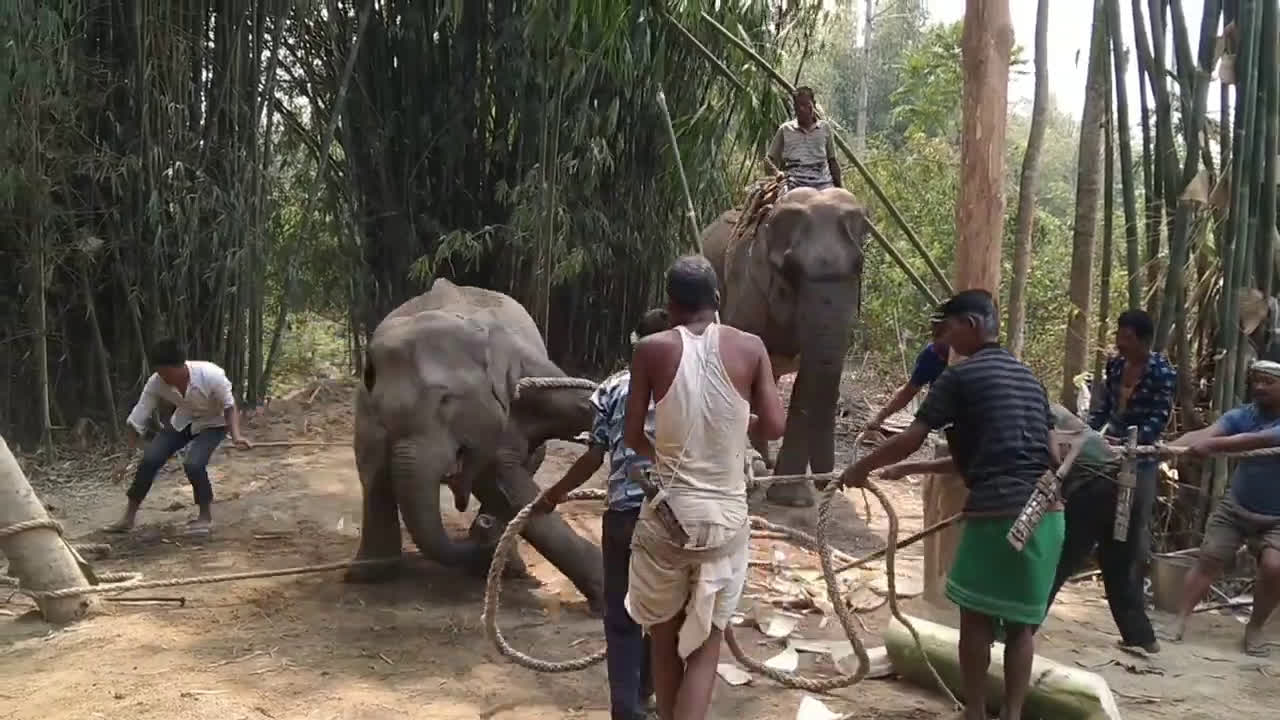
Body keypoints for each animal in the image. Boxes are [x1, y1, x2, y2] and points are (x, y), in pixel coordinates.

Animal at [346, 277, 604, 609]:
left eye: (446, 401)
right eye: (383, 412)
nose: (482, 528)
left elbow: (502, 481)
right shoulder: (365, 412)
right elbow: (373, 470)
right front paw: (365, 576)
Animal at [702, 186, 868, 507]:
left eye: (859, 265)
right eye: (790, 270)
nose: (829, 482)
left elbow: (807, 379)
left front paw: (791, 499)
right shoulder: (747, 288)